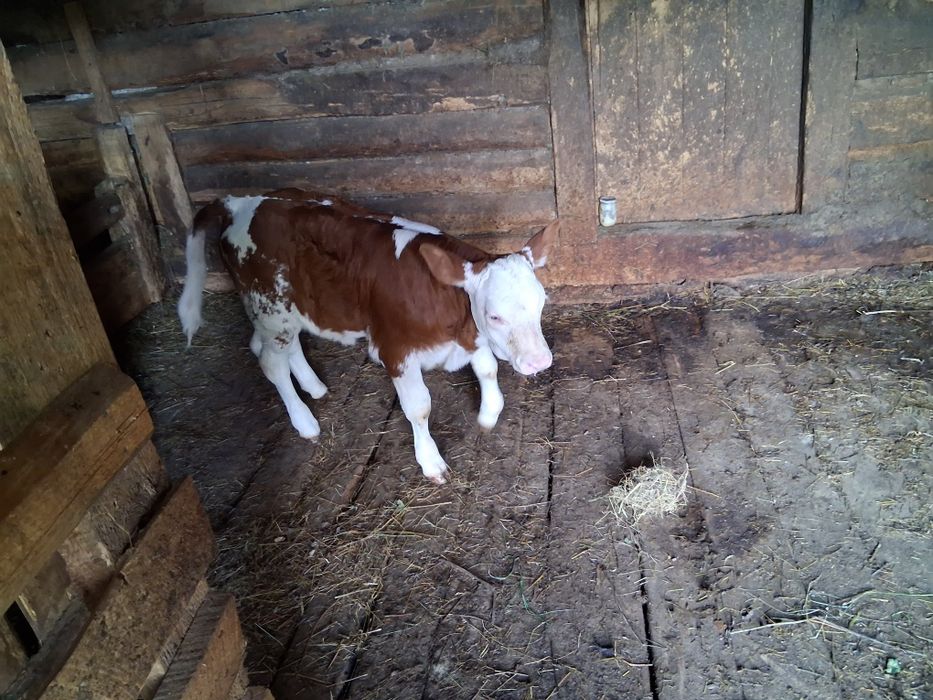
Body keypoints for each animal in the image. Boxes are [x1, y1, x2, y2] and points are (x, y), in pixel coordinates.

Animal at [178, 189, 557, 483]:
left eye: (541, 303)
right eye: (495, 316)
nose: (540, 362)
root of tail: (240, 202)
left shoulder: (469, 335)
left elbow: (487, 369)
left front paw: (488, 414)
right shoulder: (396, 350)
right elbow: (419, 408)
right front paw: (430, 462)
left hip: (288, 309)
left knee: (279, 347)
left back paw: (315, 387)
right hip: (270, 307)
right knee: (271, 362)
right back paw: (305, 421)